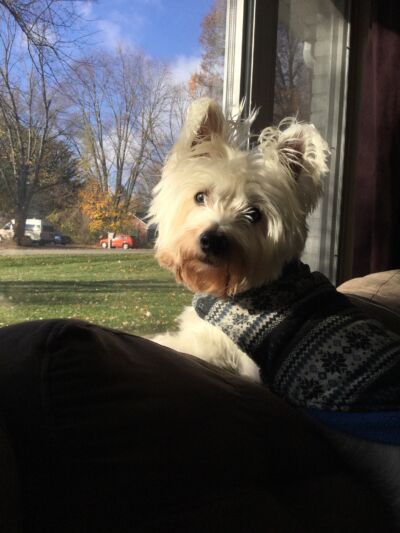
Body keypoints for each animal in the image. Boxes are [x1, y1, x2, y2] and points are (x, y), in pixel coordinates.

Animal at [149, 97, 400, 522]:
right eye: (200, 197)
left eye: (255, 214)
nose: (213, 240)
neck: (243, 287)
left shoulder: (219, 352)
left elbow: (169, 344)